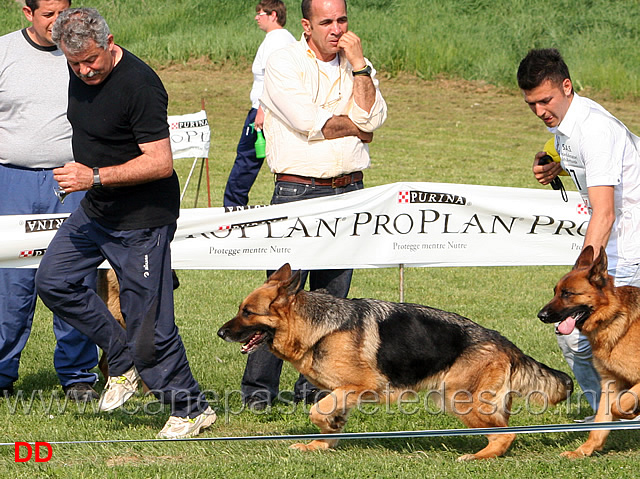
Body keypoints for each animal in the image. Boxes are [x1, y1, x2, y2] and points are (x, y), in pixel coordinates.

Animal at [218, 264, 572, 460]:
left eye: (247, 312)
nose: (220, 332)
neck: (316, 326)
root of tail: (505, 343)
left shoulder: (360, 386)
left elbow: (316, 411)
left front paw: (323, 431)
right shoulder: (339, 392)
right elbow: (328, 416)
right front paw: (322, 442)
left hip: (459, 399)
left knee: (506, 434)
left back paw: (478, 457)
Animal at [540, 246, 640, 460]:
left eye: (568, 294)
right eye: (555, 292)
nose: (541, 316)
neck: (613, 317)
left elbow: (618, 405)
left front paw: (631, 413)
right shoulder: (610, 383)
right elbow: (601, 422)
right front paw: (583, 451)